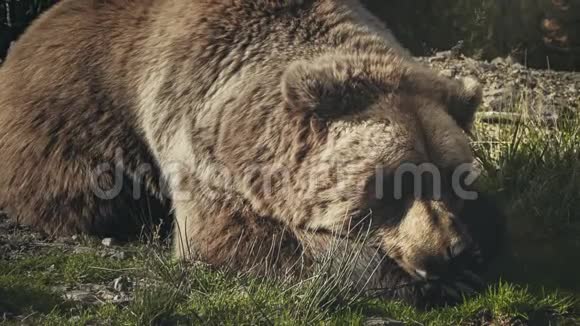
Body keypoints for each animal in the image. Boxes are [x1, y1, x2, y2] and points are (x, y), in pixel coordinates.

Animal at [0, 0, 502, 306]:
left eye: (454, 177)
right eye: (396, 183)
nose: (452, 251)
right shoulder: (200, 138)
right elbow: (232, 236)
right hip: (68, 125)